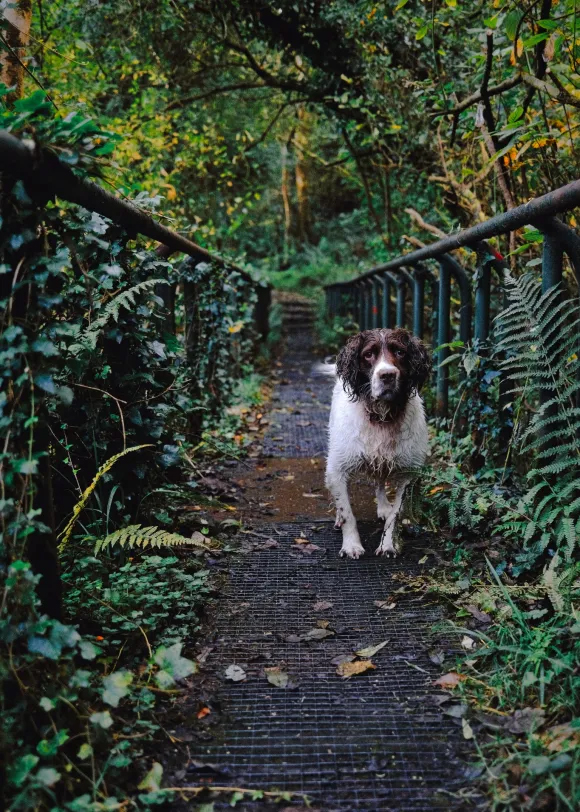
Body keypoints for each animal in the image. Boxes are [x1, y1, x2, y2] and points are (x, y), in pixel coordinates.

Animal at [322, 328, 430, 560]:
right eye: (368, 354)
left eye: (400, 352)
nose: (387, 375)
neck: (381, 416)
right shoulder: (337, 468)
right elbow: (347, 512)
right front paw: (351, 545)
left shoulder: (409, 473)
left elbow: (396, 514)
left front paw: (388, 544)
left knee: (381, 484)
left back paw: (386, 509)